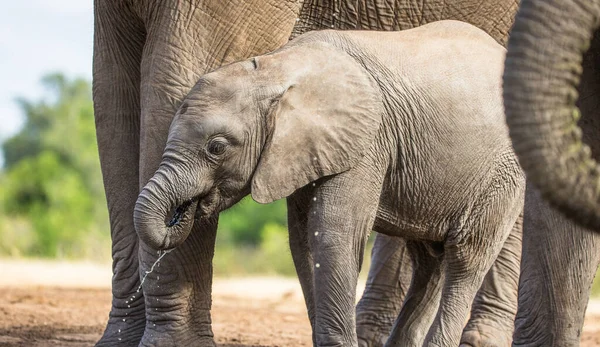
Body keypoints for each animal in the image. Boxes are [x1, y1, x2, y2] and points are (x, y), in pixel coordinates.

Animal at [92, 0, 520, 347]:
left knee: (465, 257)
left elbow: (332, 231)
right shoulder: (303, 150)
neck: (277, 69)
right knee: (429, 262)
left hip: (502, 174)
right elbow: (303, 240)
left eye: (217, 147)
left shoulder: (365, 140)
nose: (183, 211)